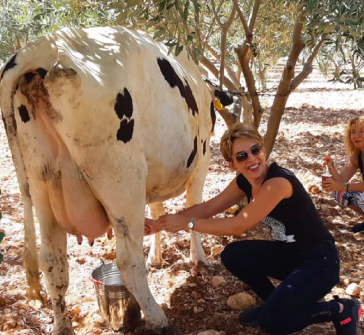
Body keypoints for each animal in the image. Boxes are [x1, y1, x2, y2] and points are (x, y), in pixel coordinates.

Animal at [0, 26, 215, 335]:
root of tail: (45, 46)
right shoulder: (203, 158)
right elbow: (193, 207)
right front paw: (199, 259)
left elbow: (158, 210)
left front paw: (158, 256)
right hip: (122, 179)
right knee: (128, 262)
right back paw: (158, 318)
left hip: (39, 180)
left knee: (52, 261)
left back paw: (63, 327)